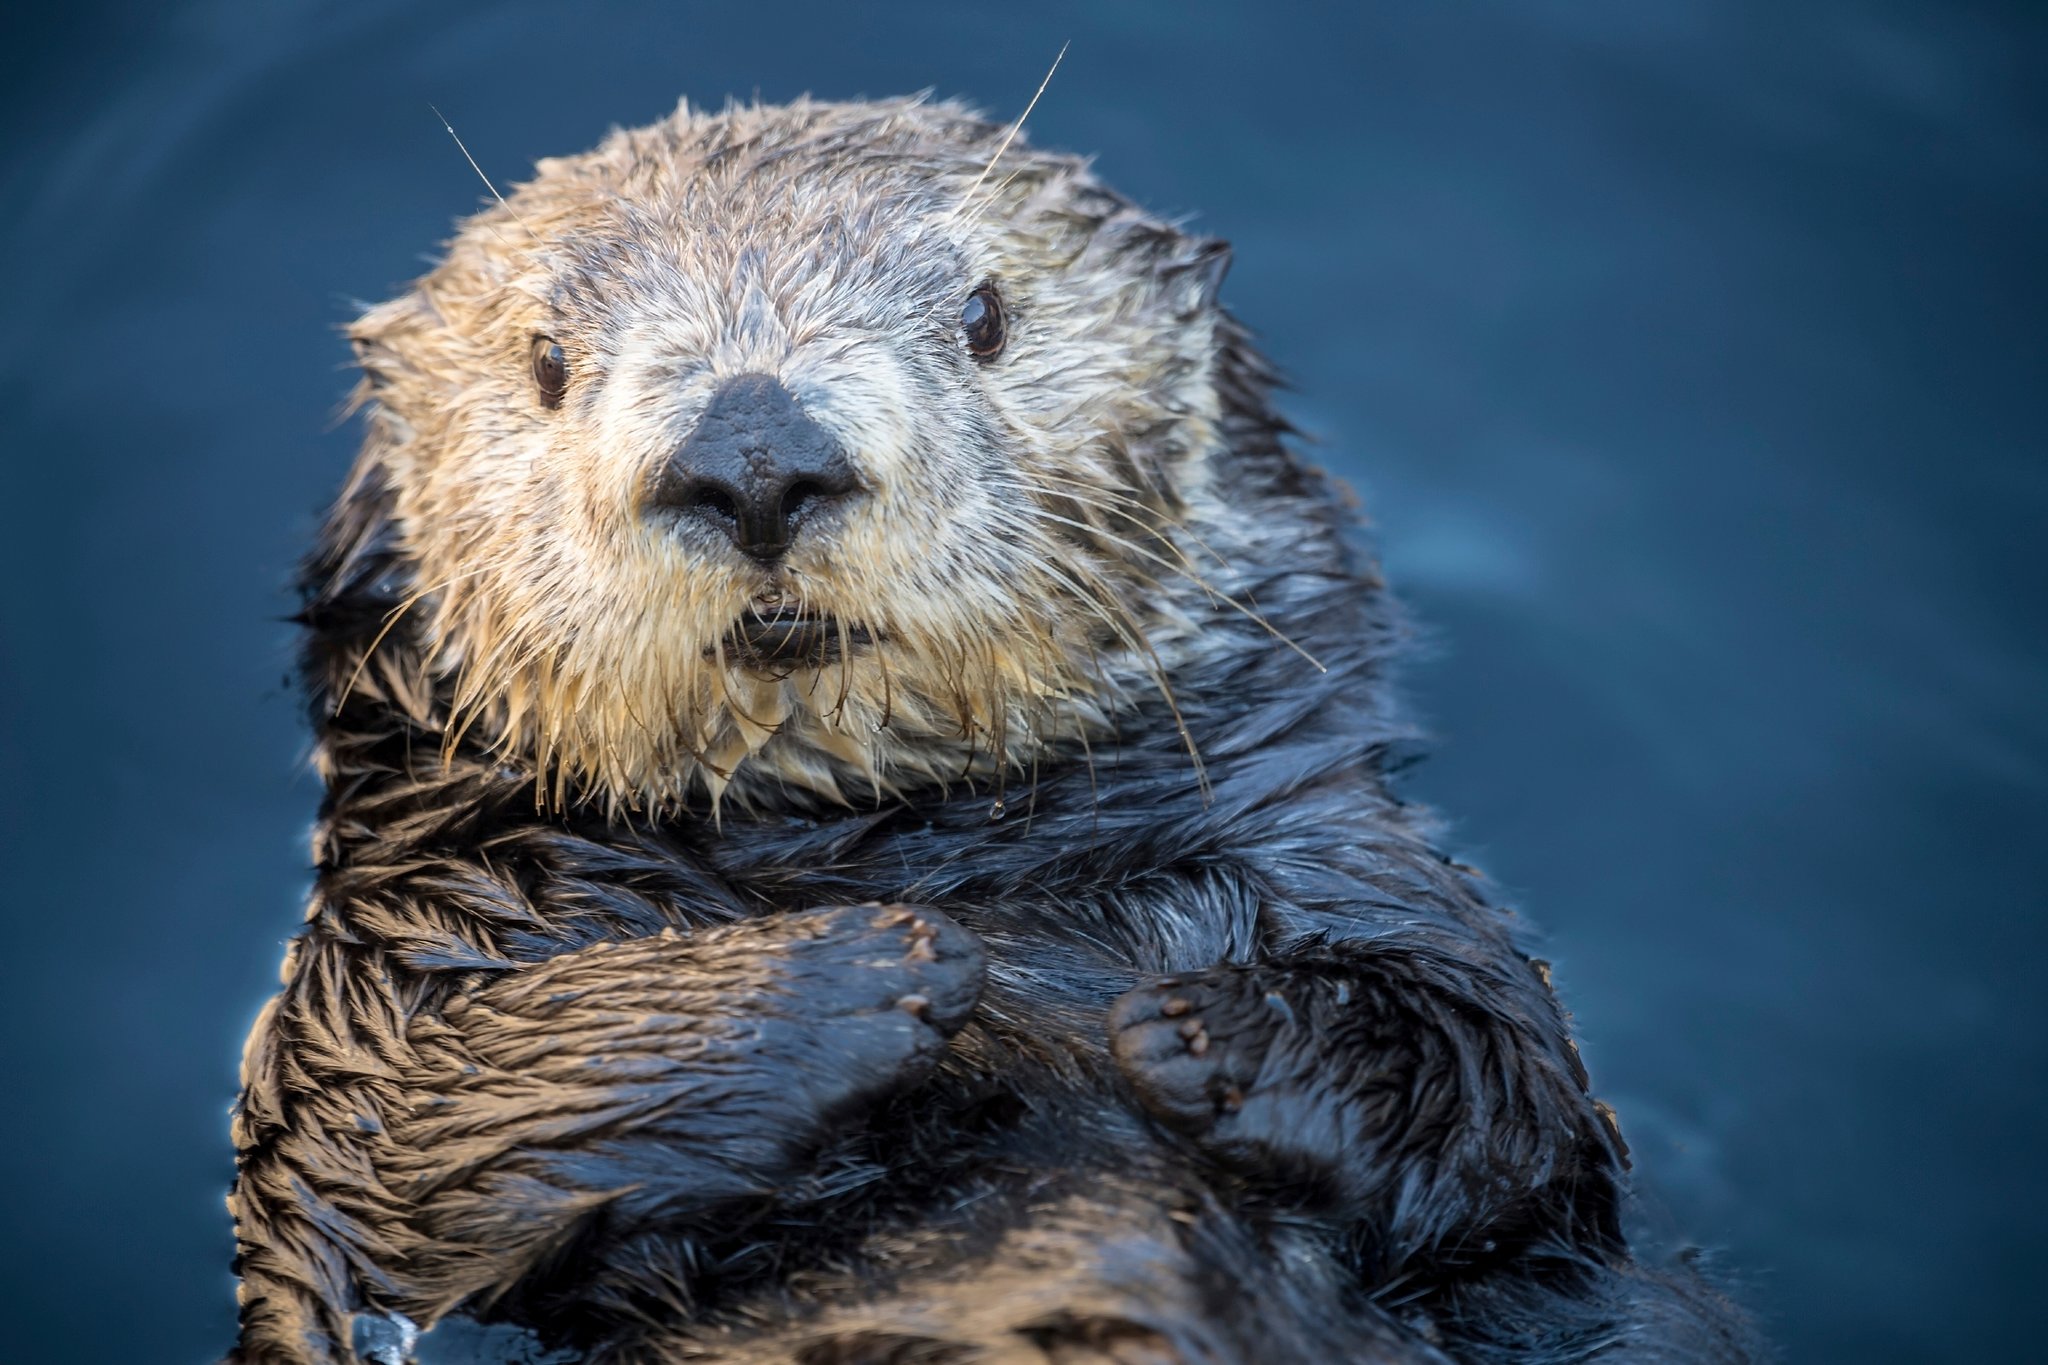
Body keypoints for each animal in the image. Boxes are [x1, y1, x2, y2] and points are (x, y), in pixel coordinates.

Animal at [228, 98, 1761, 1365]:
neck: (905, 845)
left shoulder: (1345, 857)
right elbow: (390, 1143)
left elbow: (1501, 1083)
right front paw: (876, 971)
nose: (754, 454)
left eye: (982, 314)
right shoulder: (386, 964)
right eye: (545, 359)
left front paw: (1205, 1035)